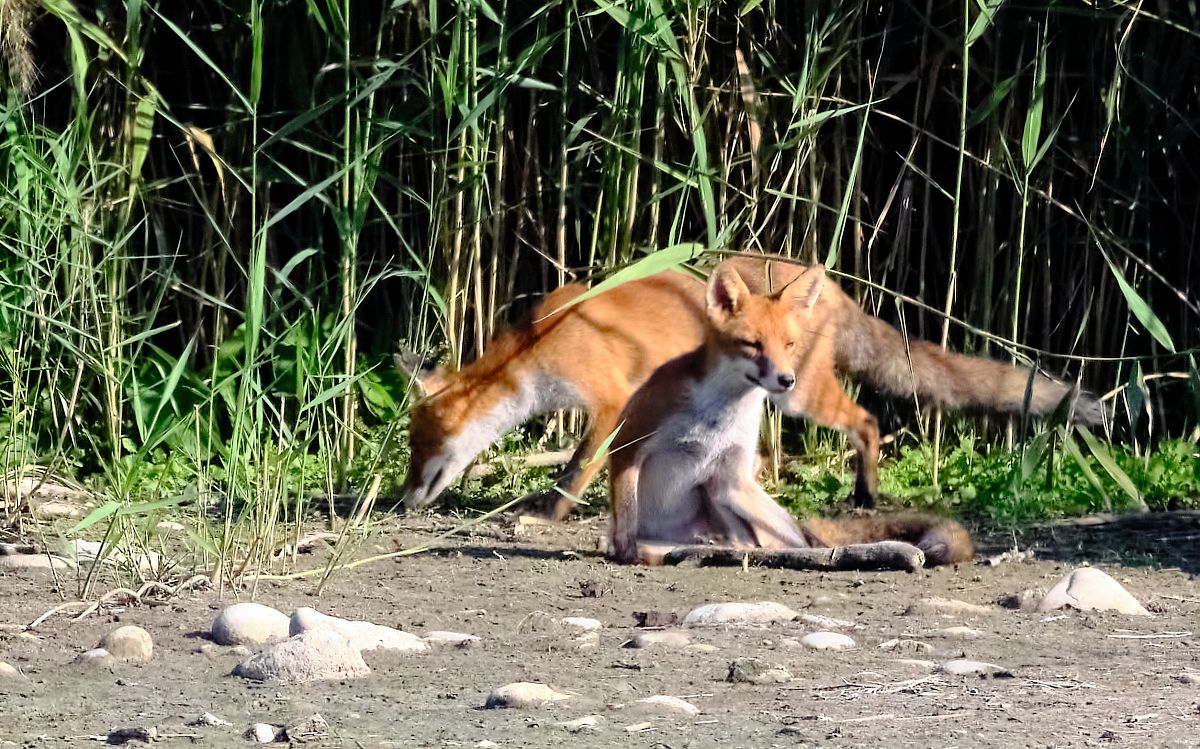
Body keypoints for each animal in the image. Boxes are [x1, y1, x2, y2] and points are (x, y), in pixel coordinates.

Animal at [397, 254, 1101, 519]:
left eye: (416, 447)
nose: (402, 501)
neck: (538, 345)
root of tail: (830, 288)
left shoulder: (609, 397)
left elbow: (578, 467)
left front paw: (549, 512)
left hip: (797, 392)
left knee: (869, 422)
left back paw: (865, 495)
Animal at [606, 260, 973, 567]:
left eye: (790, 345)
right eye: (753, 345)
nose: (786, 379)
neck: (713, 418)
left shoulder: (730, 477)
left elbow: (797, 537)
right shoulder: (628, 441)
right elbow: (625, 517)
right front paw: (625, 552)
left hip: (722, 496)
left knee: (781, 539)